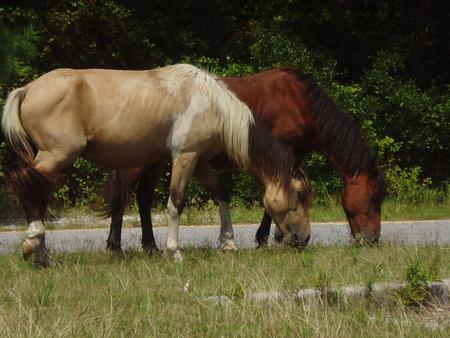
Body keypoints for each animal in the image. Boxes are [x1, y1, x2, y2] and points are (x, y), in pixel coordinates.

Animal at [2, 62, 312, 264]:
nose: (305, 238)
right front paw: (174, 251)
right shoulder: (184, 157)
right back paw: (35, 248)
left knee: (36, 191)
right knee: (27, 186)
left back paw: (41, 252)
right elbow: (176, 202)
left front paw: (228, 243)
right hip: (56, 155)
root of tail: (26, 89)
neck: (211, 102)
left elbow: (221, 192)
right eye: (298, 194)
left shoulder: (200, 162)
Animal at [103, 66, 384, 251]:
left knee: (143, 198)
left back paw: (150, 246)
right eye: (373, 197)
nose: (372, 240)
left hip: (156, 161)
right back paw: (115, 246)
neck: (301, 103)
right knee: (126, 198)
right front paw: (269, 238)